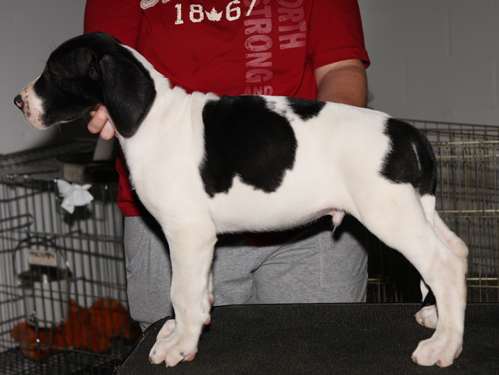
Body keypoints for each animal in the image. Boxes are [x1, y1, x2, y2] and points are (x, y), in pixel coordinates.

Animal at [14, 33, 468, 370]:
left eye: (54, 72)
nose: (19, 102)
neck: (152, 117)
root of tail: (408, 132)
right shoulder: (198, 241)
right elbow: (198, 291)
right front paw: (183, 329)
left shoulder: (188, 233)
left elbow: (182, 291)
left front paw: (181, 344)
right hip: (415, 209)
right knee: (458, 253)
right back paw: (441, 319)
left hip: (389, 214)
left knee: (442, 265)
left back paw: (443, 345)